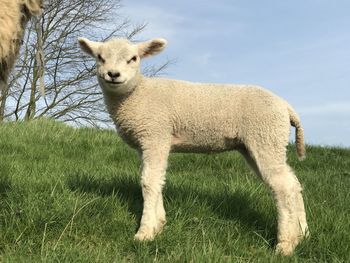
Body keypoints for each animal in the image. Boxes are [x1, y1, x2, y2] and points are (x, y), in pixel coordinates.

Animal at [78, 36, 308, 256]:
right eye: (99, 57)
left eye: (133, 58)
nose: (113, 74)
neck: (137, 94)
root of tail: (286, 107)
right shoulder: (148, 143)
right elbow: (156, 180)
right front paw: (159, 224)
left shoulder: (155, 135)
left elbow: (148, 182)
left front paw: (145, 233)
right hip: (260, 144)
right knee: (292, 183)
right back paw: (302, 234)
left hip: (266, 136)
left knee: (283, 187)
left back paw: (285, 244)